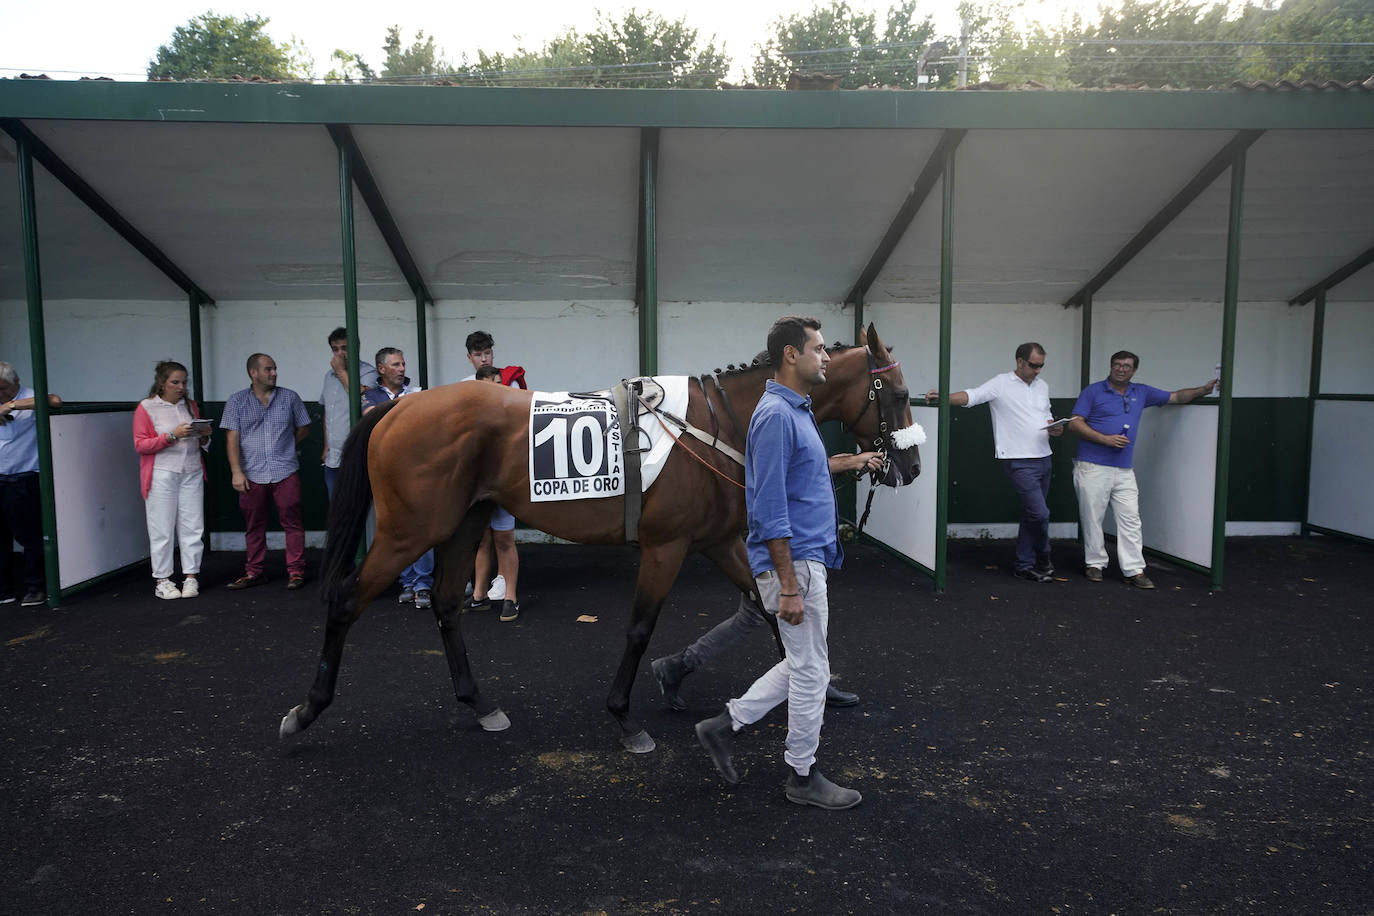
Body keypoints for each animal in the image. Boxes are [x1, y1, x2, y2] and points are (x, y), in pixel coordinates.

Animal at [278, 322, 917, 752]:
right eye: (901, 395)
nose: (909, 466)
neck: (723, 423)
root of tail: (397, 408)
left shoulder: (718, 541)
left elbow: (769, 612)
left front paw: (818, 690)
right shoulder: (666, 545)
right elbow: (639, 627)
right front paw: (625, 717)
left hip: (463, 524)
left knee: (445, 604)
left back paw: (481, 704)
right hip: (410, 529)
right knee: (347, 598)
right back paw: (306, 711)